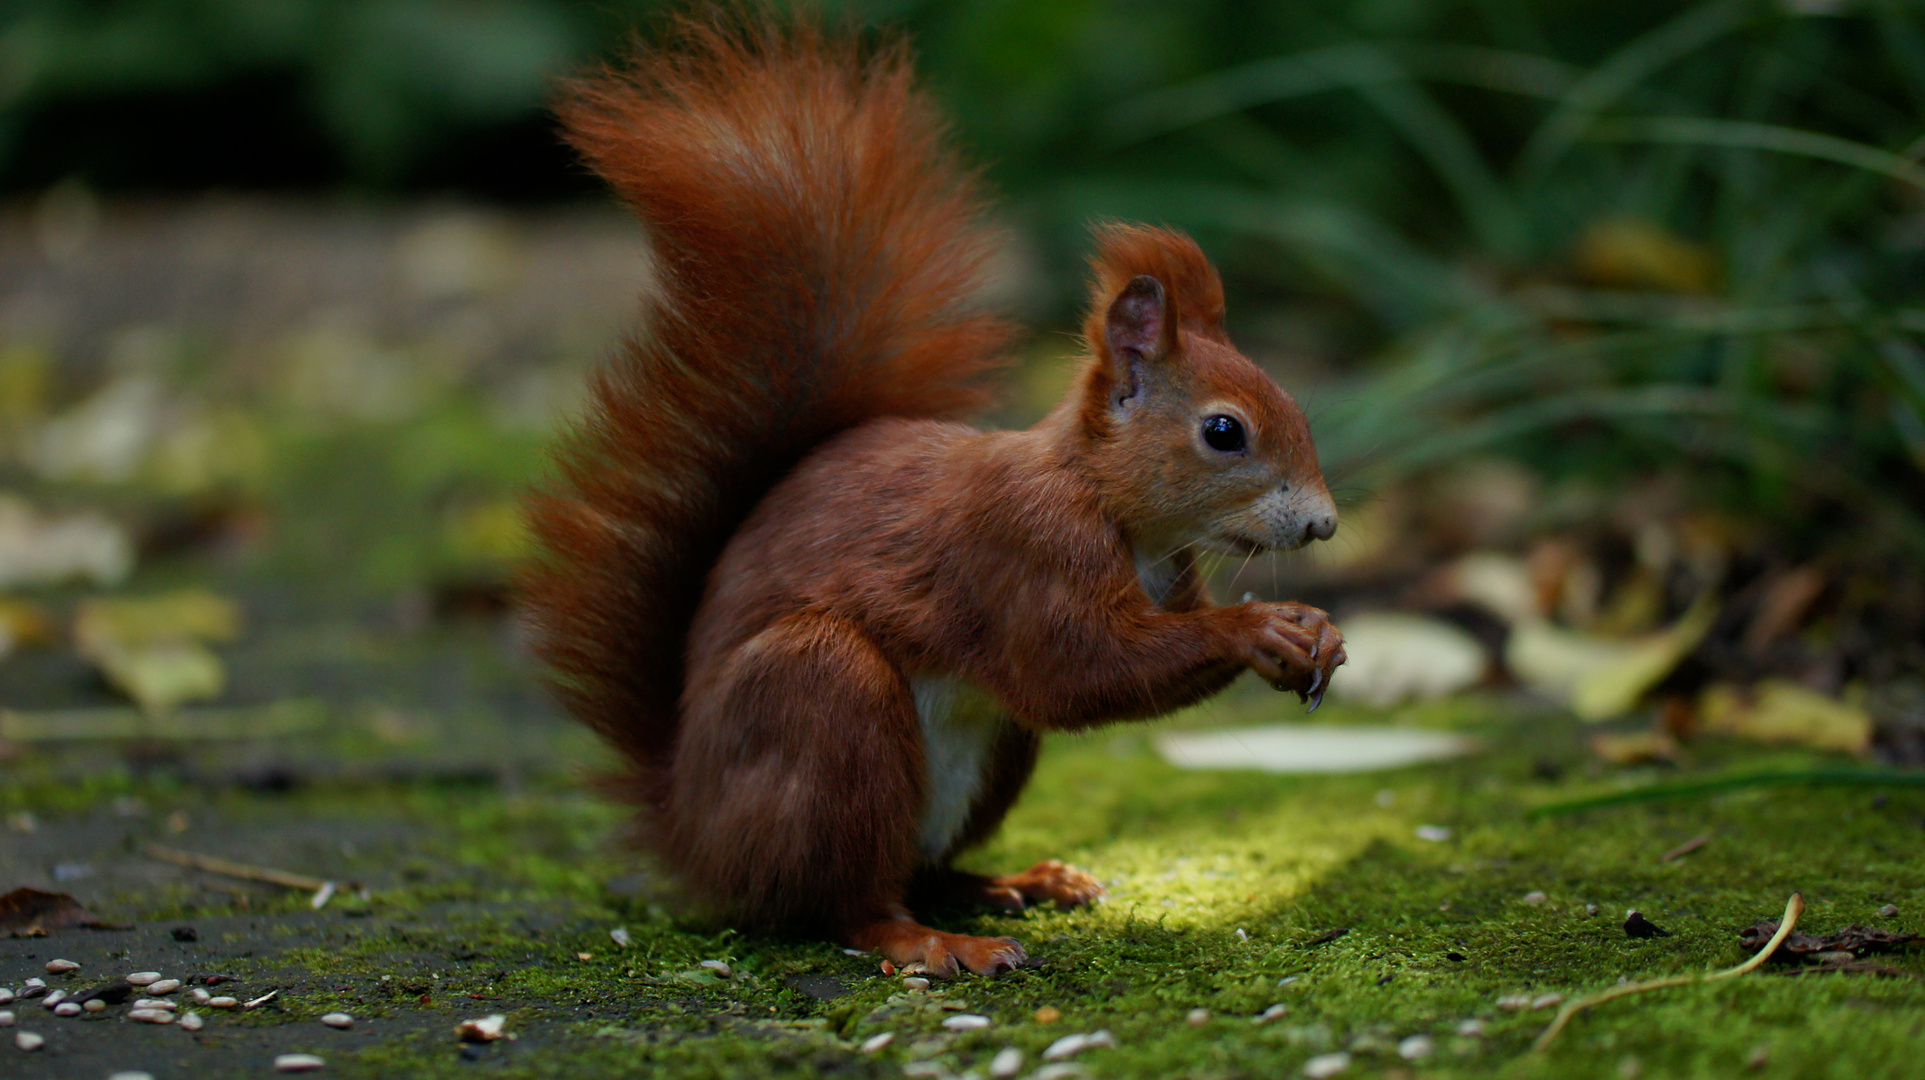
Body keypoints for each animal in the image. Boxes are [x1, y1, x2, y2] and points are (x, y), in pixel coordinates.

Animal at [519, 14, 1347, 977]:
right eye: (1223, 432)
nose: (1324, 523)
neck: (1108, 507)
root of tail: (691, 831)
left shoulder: (1167, 576)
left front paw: (1317, 631)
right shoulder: (1018, 549)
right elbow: (1076, 670)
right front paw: (1258, 628)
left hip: (991, 758)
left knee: (927, 866)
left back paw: (1016, 882)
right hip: (821, 700)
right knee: (844, 902)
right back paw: (934, 941)